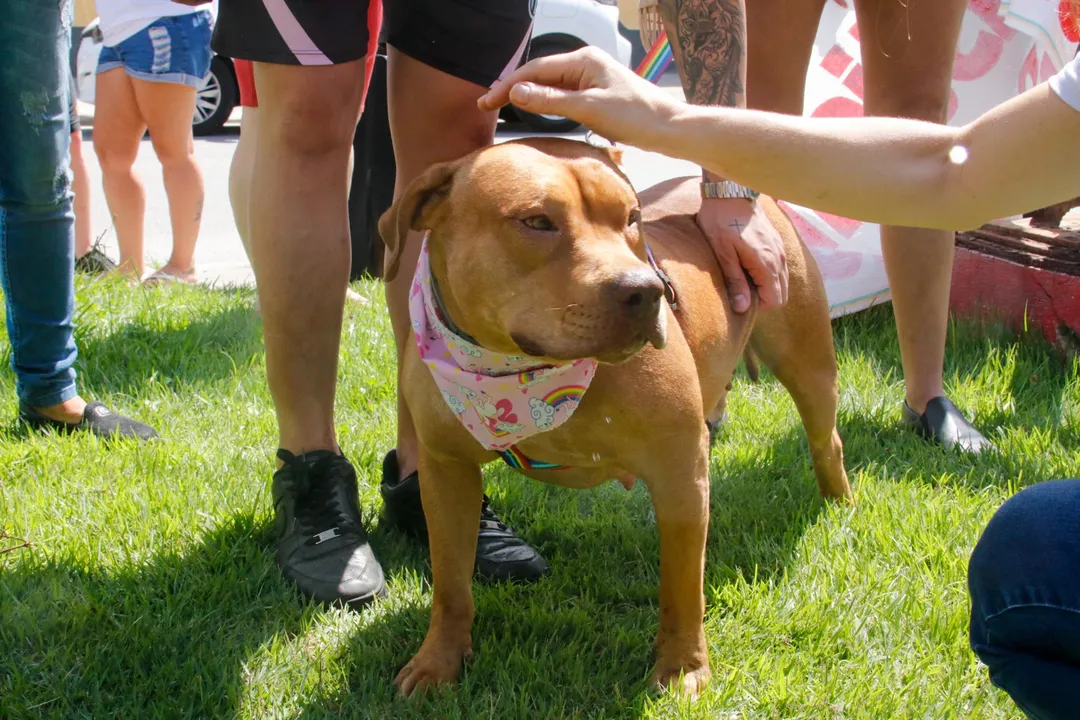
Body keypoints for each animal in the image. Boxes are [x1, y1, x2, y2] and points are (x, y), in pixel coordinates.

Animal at [380, 136, 851, 699]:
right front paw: (438, 662)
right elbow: (450, 582)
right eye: (536, 221)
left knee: (826, 439)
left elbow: (682, 586)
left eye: (632, 217)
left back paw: (839, 505)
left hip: (807, 360)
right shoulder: (446, 471)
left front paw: (683, 667)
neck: (526, 374)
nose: (647, 291)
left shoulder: (677, 472)